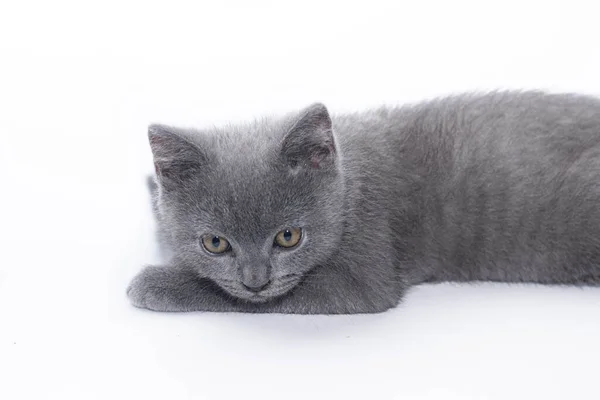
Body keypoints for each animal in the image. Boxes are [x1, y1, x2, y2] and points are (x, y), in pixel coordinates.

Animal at [129, 92, 600, 314]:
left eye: (288, 236)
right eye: (215, 243)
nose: (256, 282)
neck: (348, 186)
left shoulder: (364, 269)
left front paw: (155, 283)